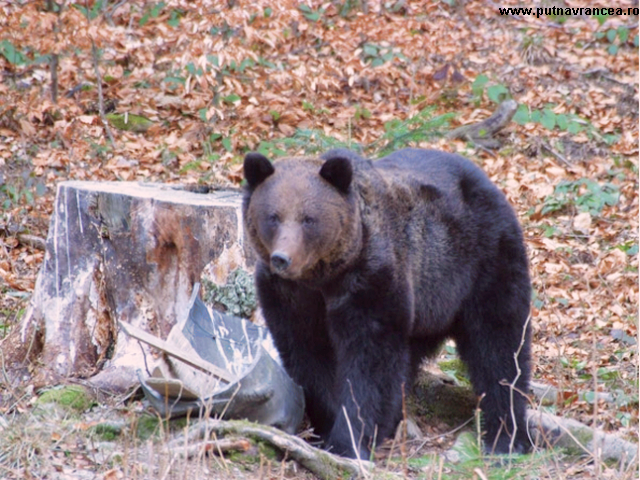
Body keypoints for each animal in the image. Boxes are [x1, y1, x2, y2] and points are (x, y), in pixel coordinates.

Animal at [240, 148, 528, 460]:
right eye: (273, 217)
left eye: (308, 219)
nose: (283, 258)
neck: (323, 279)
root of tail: (485, 178)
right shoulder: (289, 296)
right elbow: (307, 353)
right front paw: (330, 423)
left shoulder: (371, 278)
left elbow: (370, 362)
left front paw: (348, 439)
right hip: (428, 302)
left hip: (480, 261)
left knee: (499, 345)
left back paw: (507, 436)